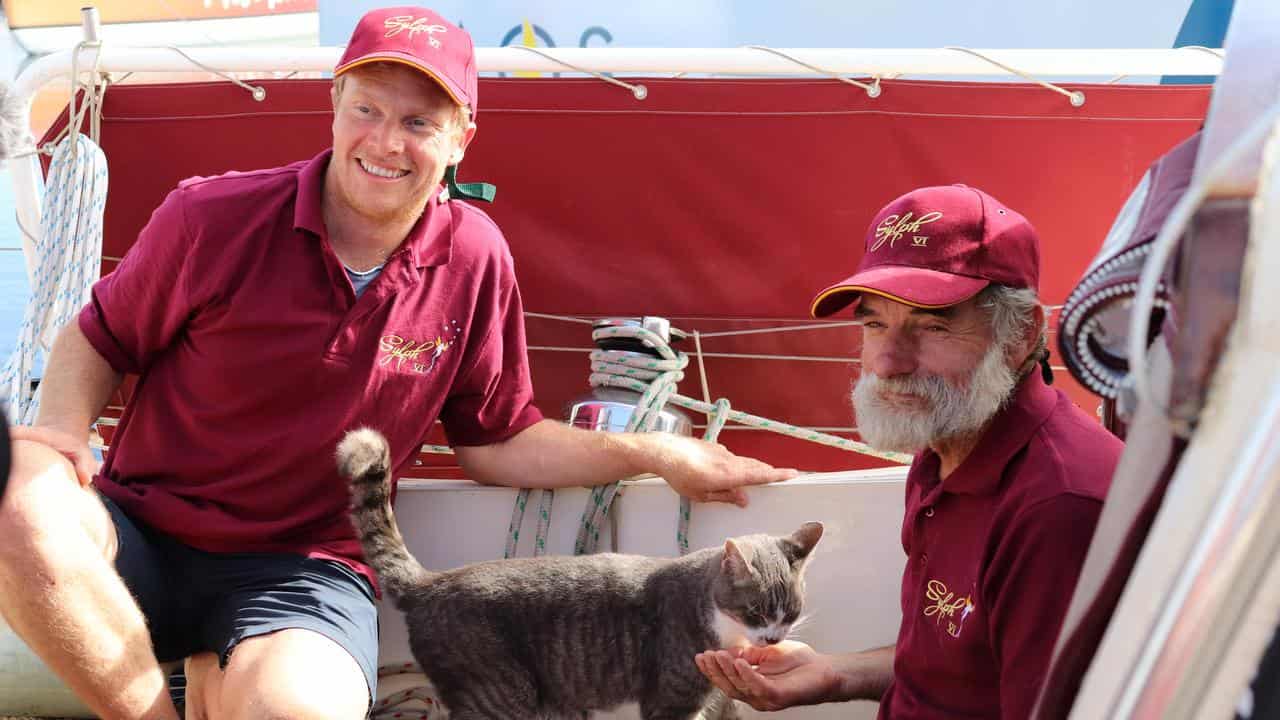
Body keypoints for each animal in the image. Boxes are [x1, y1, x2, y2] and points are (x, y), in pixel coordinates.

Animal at [340, 427, 819, 712]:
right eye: (755, 613)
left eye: (790, 614)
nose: (773, 639)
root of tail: (431, 583)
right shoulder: (671, 697)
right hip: (499, 692)